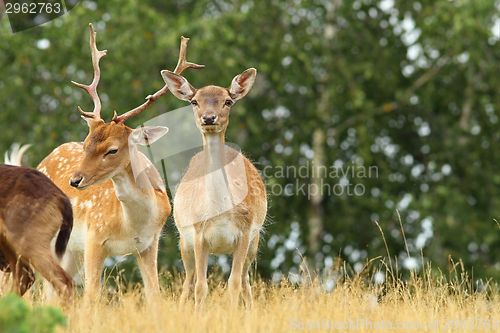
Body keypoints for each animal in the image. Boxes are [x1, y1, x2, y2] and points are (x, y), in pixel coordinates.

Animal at [35, 22, 203, 298]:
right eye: (86, 143)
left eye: (112, 150)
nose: (75, 180)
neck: (131, 225)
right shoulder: (93, 238)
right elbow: (91, 297)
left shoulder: (149, 244)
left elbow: (154, 296)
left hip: (69, 251)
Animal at [162, 67, 268, 308]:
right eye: (194, 101)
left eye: (228, 101)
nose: (209, 117)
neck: (219, 212)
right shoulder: (198, 234)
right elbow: (201, 287)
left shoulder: (245, 233)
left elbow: (234, 283)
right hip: (184, 242)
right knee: (189, 281)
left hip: (255, 241)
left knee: (246, 281)